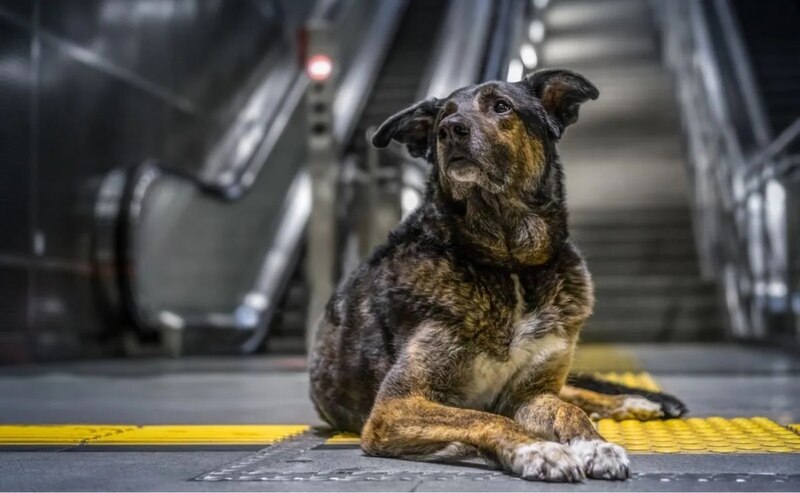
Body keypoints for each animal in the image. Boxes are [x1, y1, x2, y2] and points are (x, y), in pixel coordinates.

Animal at [310, 68, 684, 480]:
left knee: (571, 392)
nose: (450, 130)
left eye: (501, 107)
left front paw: (595, 444)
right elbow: (485, 417)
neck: (510, 265)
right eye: (442, 120)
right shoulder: (394, 407)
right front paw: (539, 449)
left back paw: (632, 402)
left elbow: (568, 410)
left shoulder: (529, 393)